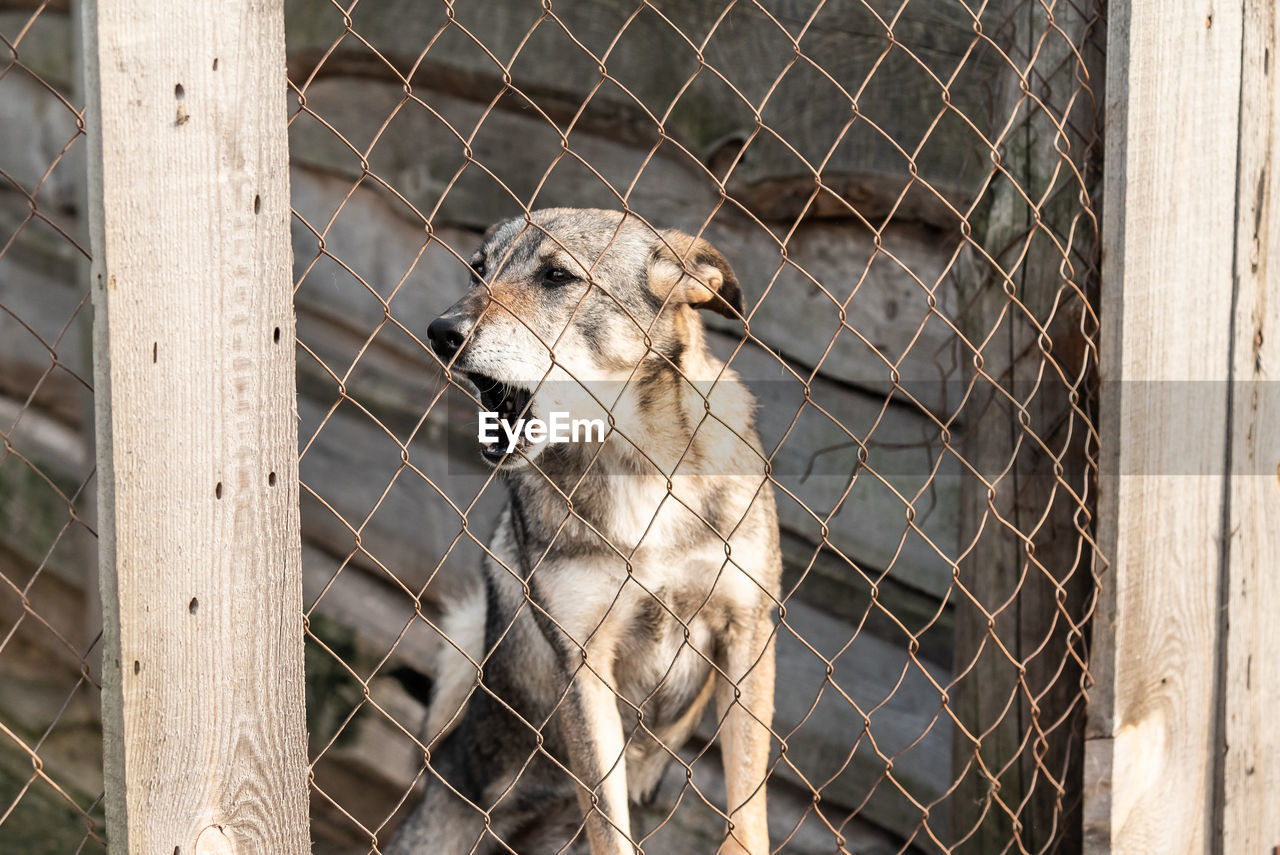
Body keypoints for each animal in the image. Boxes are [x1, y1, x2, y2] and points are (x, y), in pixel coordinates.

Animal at [384, 208, 778, 855]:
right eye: (478, 269)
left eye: (557, 276)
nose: (441, 332)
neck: (637, 464)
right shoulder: (583, 665)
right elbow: (609, 828)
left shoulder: (746, 630)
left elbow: (748, 811)